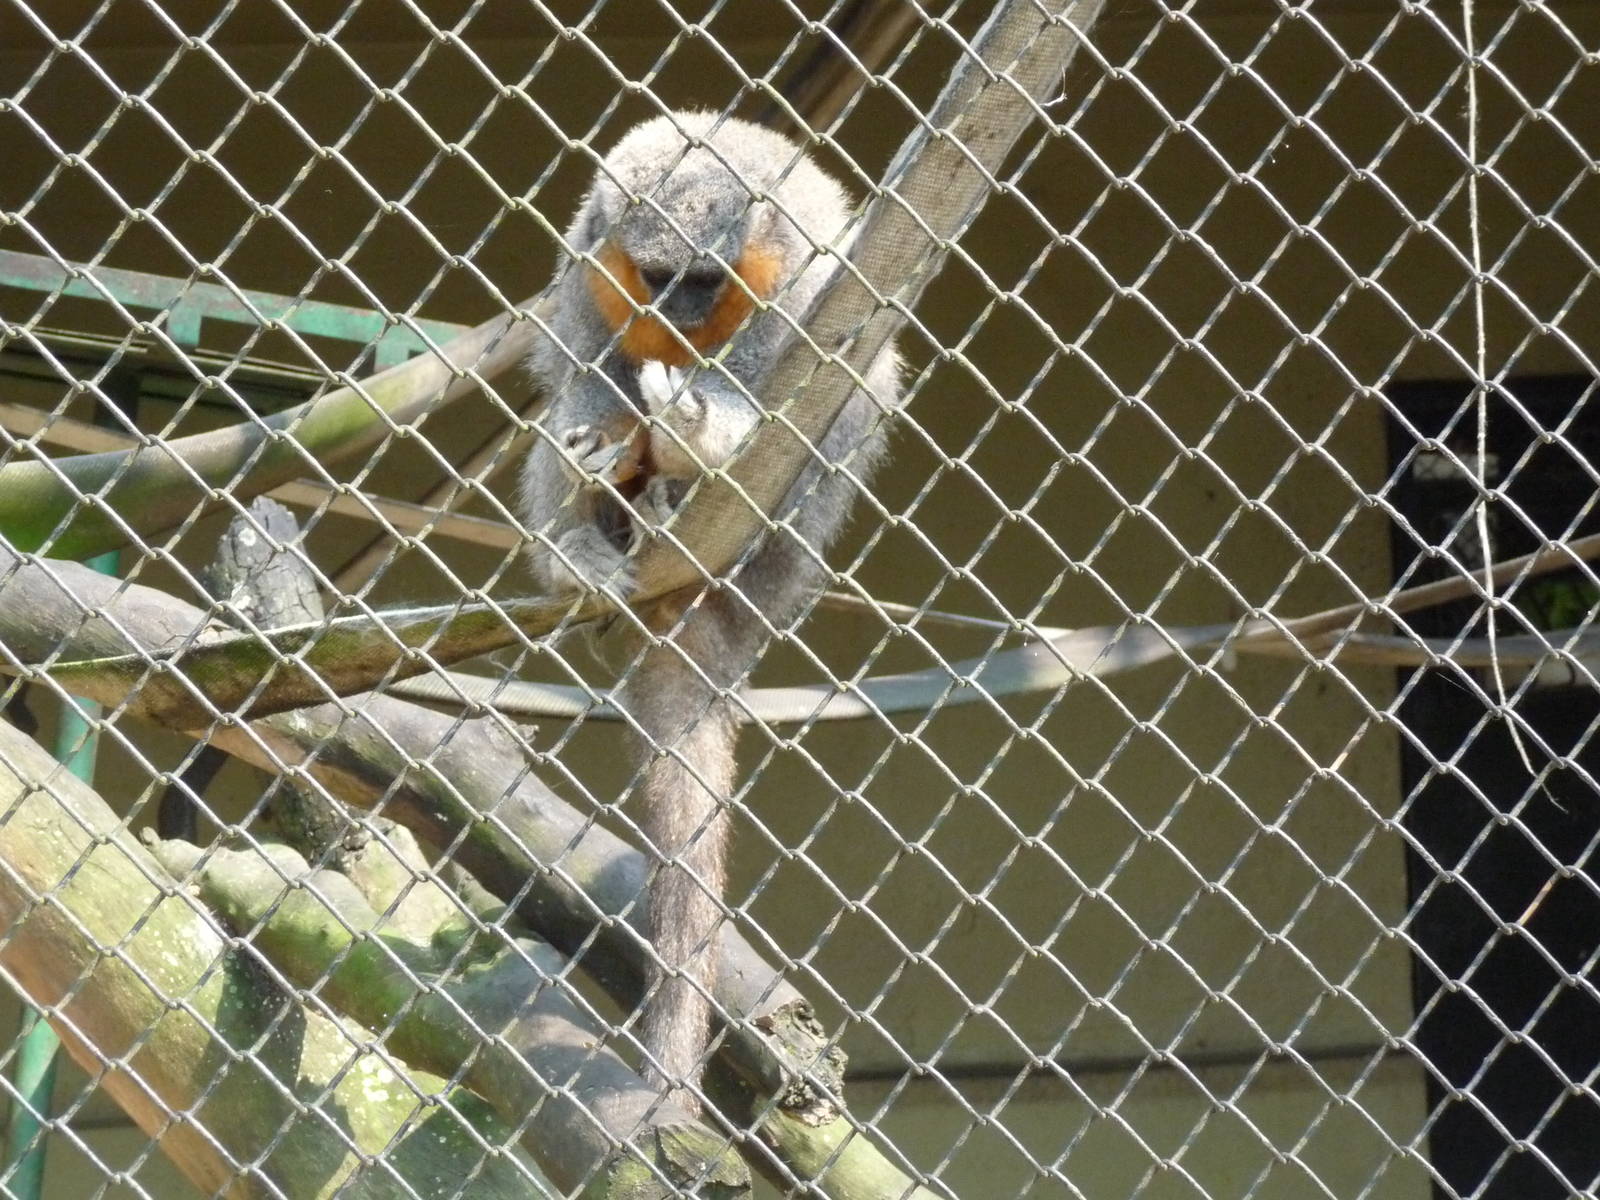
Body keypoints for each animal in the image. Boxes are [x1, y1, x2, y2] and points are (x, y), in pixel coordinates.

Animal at [519, 110, 900, 1104]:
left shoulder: (804, 275)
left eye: (705, 280)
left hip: (792, 557)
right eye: (660, 279)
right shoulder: (591, 258)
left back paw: (686, 481)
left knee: (843, 422)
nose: (682, 315)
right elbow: (579, 365)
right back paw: (594, 534)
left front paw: (697, 430)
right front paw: (602, 447)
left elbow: (809, 375)